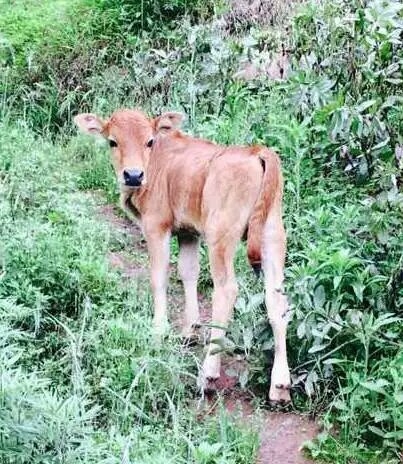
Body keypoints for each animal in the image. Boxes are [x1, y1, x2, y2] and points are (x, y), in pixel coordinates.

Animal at [74, 109, 292, 402]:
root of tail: (257, 151)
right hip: (273, 235)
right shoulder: (189, 232)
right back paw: (279, 385)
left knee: (226, 290)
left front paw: (158, 332)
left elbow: (159, 277)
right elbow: (188, 272)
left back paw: (207, 375)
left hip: (221, 234)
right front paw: (189, 330)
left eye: (149, 141)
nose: (133, 175)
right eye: (112, 141)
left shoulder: (157, 225)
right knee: (276, 299)